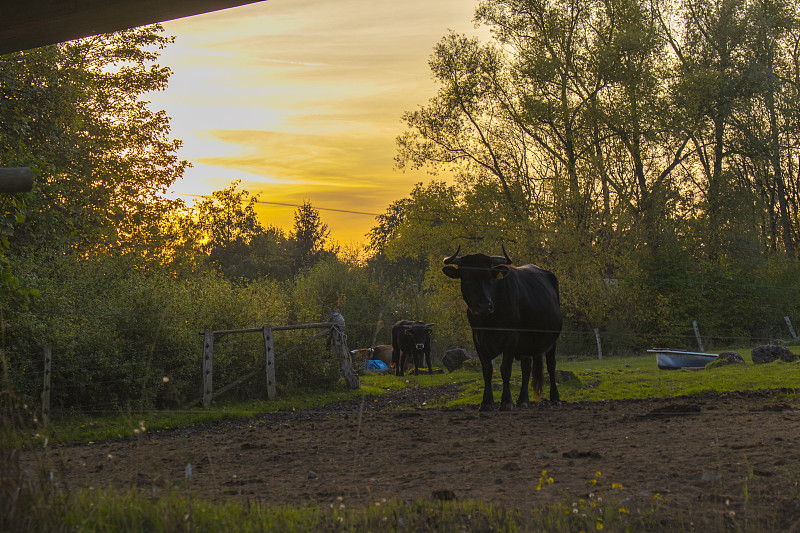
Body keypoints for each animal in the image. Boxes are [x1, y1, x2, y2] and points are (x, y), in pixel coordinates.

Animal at [444, 245, 564, 412]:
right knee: (526, 368)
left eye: (490, 279)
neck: (489, 321)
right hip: (526, 345)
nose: (485, 306)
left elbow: (505, 369)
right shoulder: (478, 339)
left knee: (551, 366)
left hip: (552, 340)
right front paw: (486, 402)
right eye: (466, 279)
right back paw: (523, 400)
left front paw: (506, 402)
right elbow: (487, 370)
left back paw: (555, 398)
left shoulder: (511, 338)